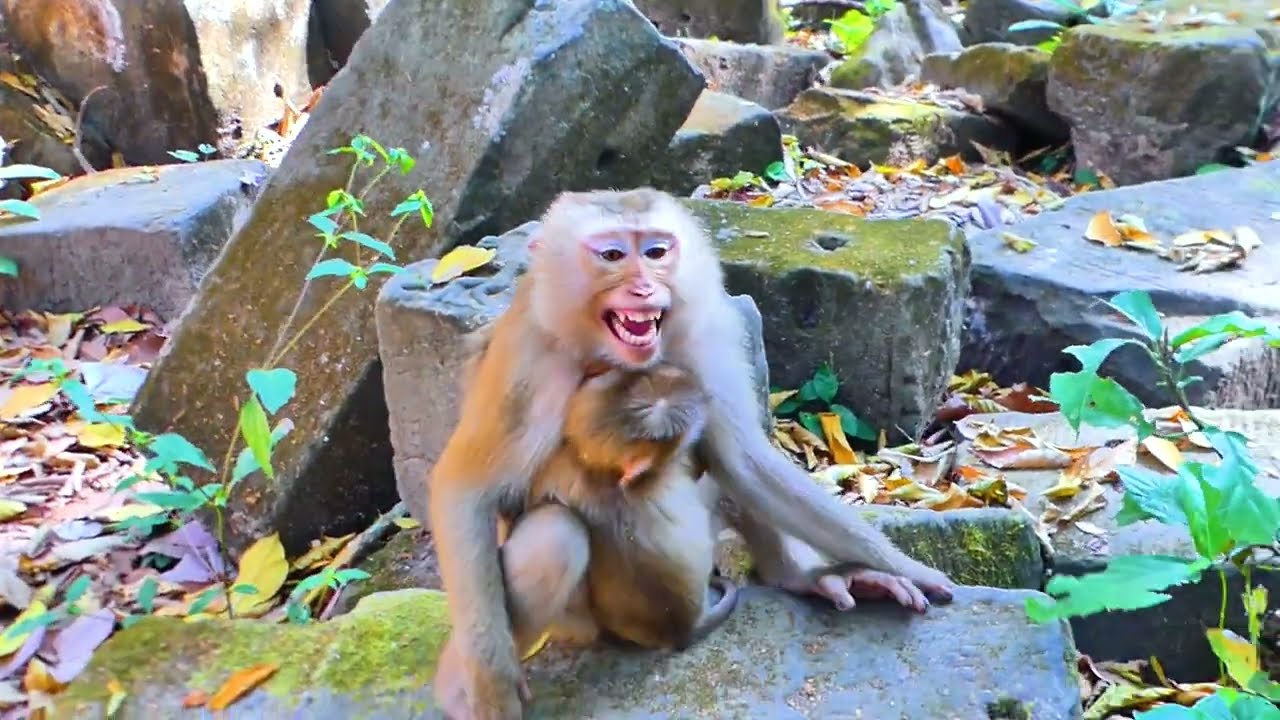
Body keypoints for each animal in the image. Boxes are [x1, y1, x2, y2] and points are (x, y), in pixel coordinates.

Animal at [427, 187, 956, 720]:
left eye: (656, 252)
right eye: (613, 255)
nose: (643, 288)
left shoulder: (705, 334)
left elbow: (745, 461)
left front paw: (908, 569)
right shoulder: (529, 354)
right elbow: (467, 489)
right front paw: (487, 680)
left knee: (729, 473)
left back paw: (805, 577)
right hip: (576, 623)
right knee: (553, 539)